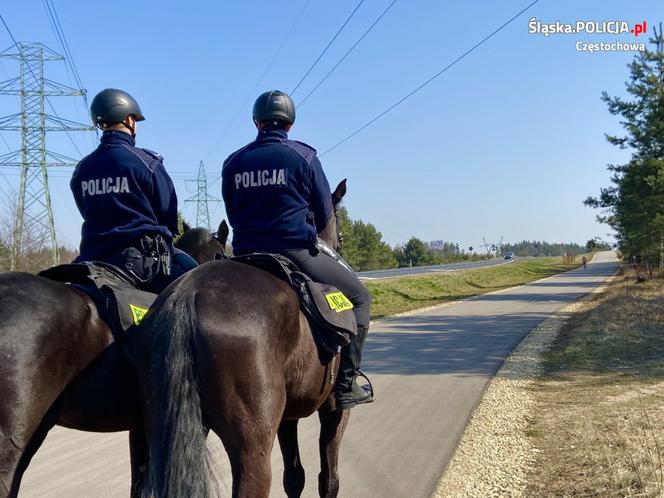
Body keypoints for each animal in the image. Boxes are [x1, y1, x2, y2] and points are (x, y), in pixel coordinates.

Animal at [138, 181, 356, 496]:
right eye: (337, 217)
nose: (339, 244)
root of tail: (186, 296)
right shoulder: (334, 409)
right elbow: (328, 478)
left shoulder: (287, 417)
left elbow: (294, 477)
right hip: (252, 449)